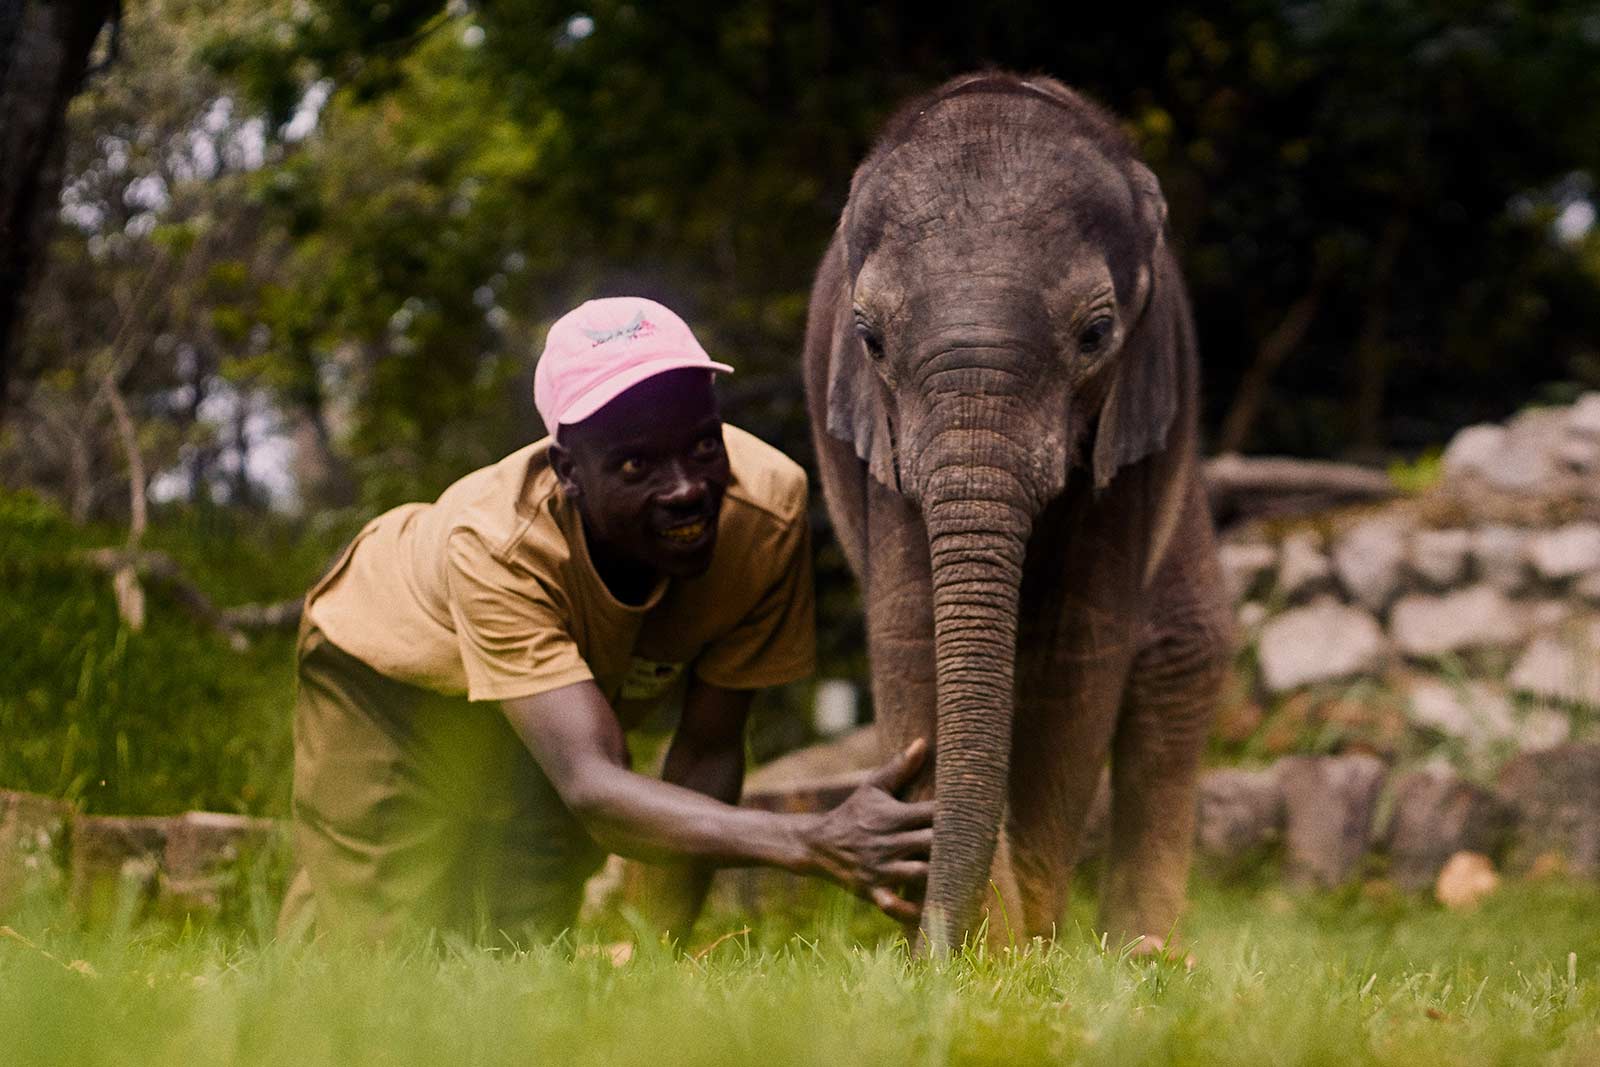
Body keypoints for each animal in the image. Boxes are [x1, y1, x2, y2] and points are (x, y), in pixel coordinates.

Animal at [802, 72, 1233, 955]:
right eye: (868, 339)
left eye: (1097, 333)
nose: (925, 948)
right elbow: (913, 637)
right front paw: (989, 957)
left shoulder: (1137, 414)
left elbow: (1077, 655)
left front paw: (1022, 953)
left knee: (1182, 653)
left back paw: (1144, 955)